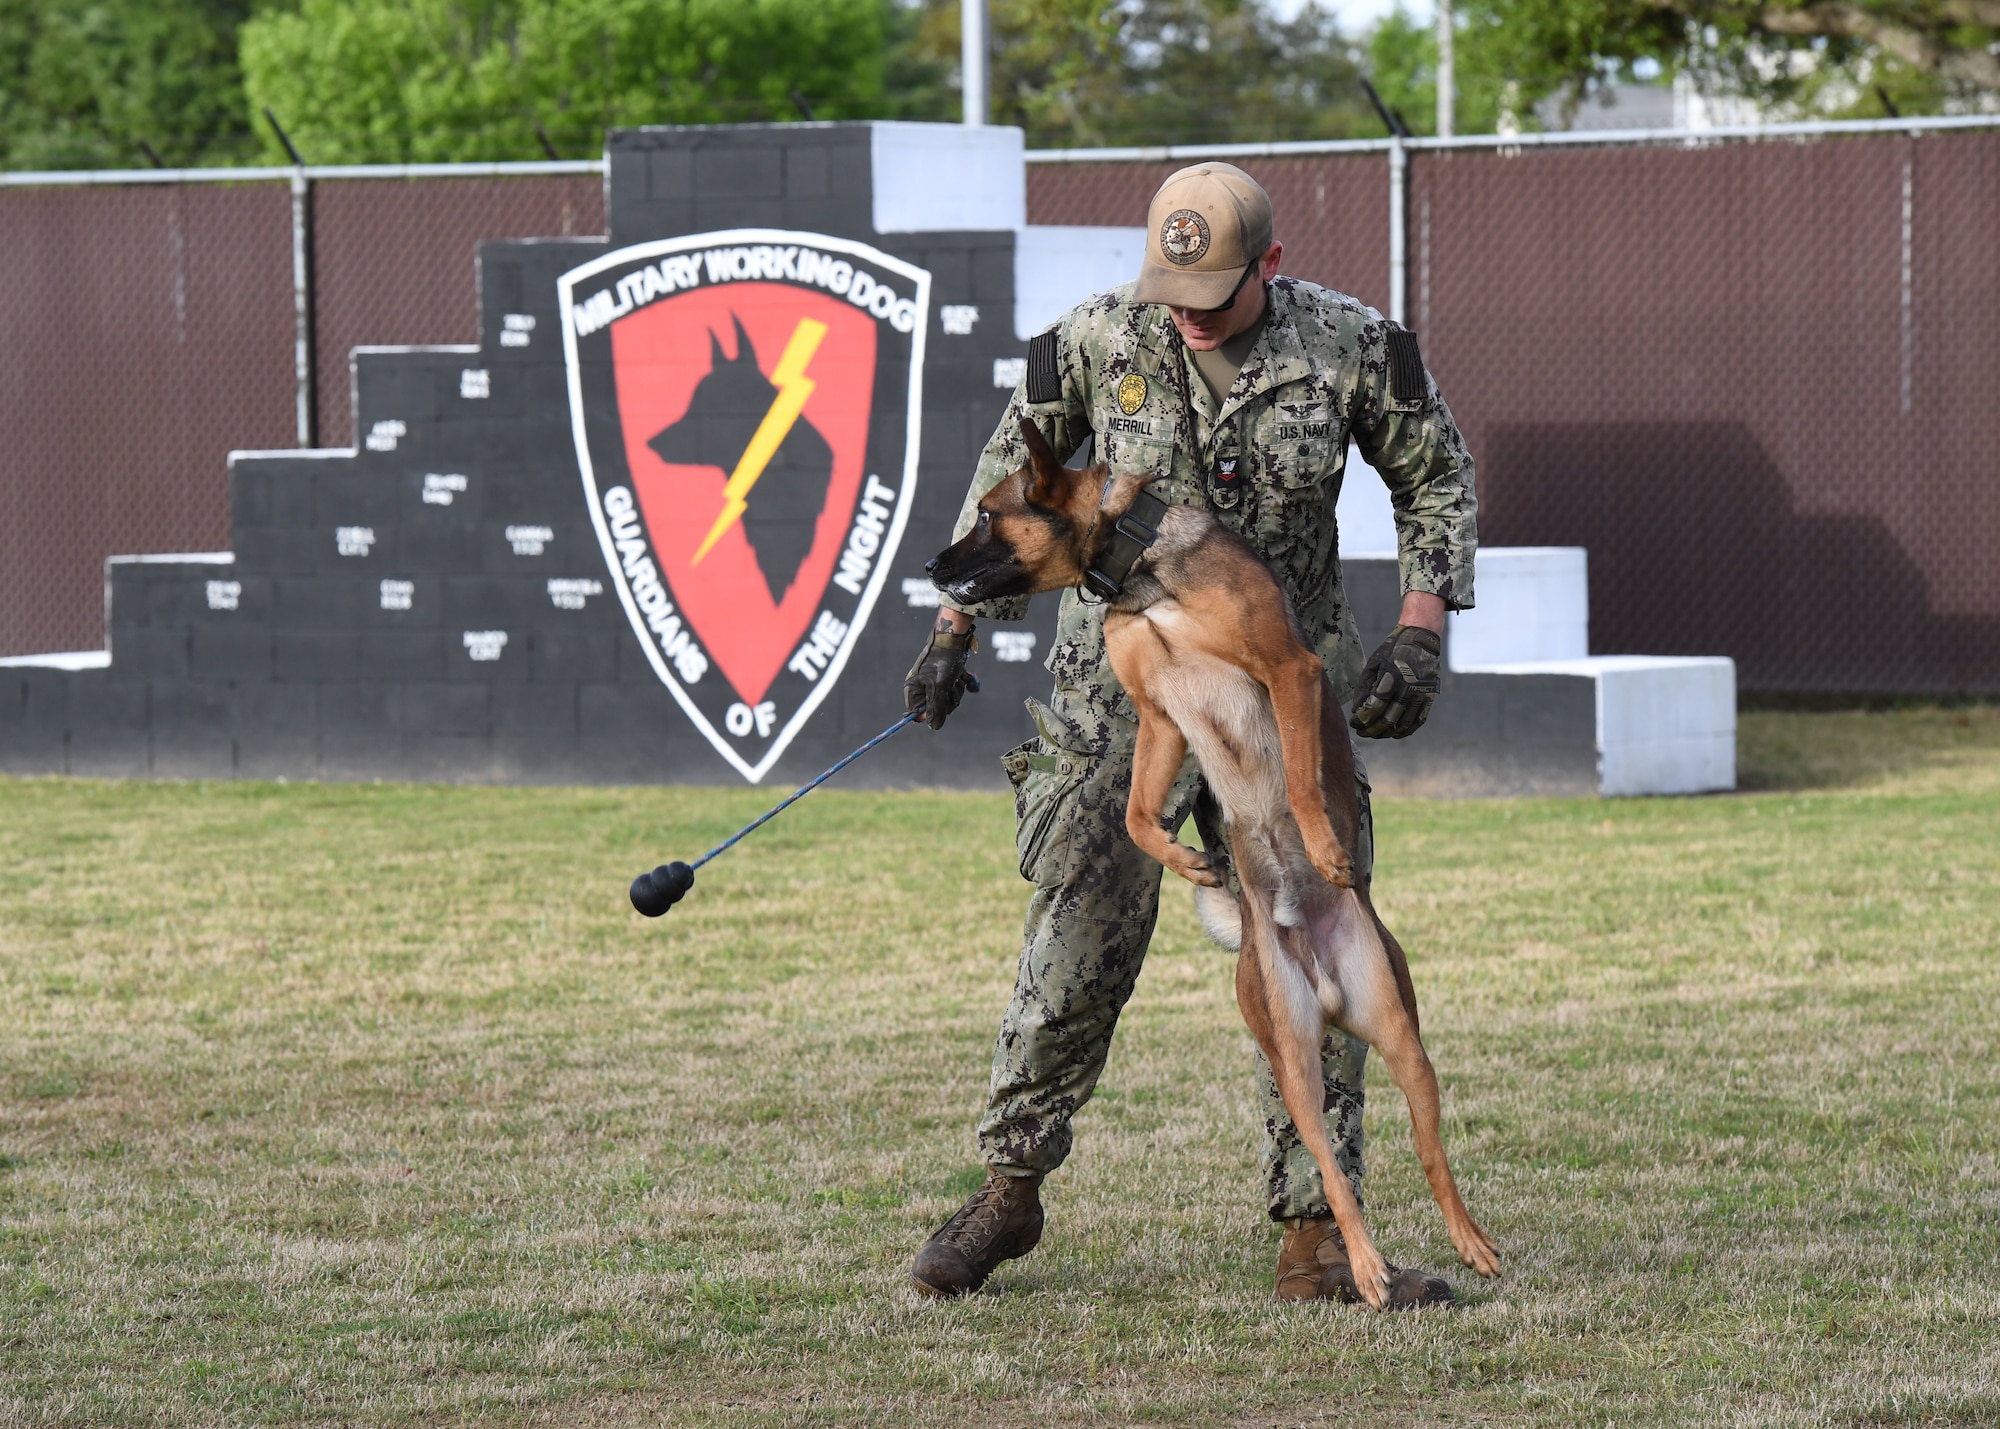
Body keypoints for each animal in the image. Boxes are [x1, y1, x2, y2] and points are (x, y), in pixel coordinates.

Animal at [908, 159, 1488, 1304]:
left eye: (992, 519)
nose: (934, 568)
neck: (1141, 570)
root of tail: (1312, 963)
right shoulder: (1161, 723)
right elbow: (1133, 819)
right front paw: (1186, 860)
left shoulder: (1288, 672)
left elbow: (1303, 777)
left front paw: (1319, 841)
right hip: (1296, 1055)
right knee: (1333, 1165)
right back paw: (1360, 1266)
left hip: (1399, 1040)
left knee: (1421, 1151)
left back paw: (1458, 1247)